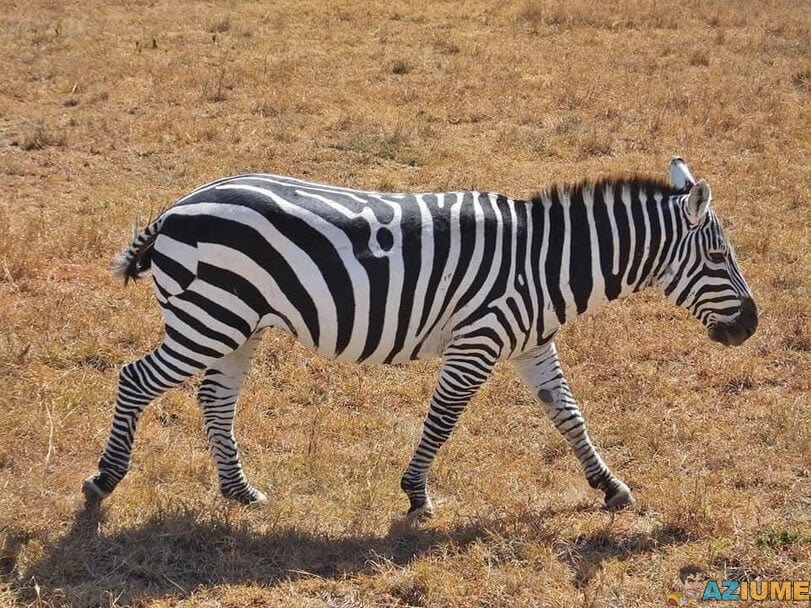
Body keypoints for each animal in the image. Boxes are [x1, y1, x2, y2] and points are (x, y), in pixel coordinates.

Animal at [83, 157, 757, 517]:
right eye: (718, 257)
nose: (750, 326)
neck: (545, 262)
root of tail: (178, 206)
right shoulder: (478, 340)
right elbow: (444, 418)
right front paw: (416, 494)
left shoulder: (532, 342)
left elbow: (569, 415)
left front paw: (611, 487)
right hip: (209, 317)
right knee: (135, 379)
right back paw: (103, 481)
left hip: (234, 324)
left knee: (214, 401)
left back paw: (240, 492)